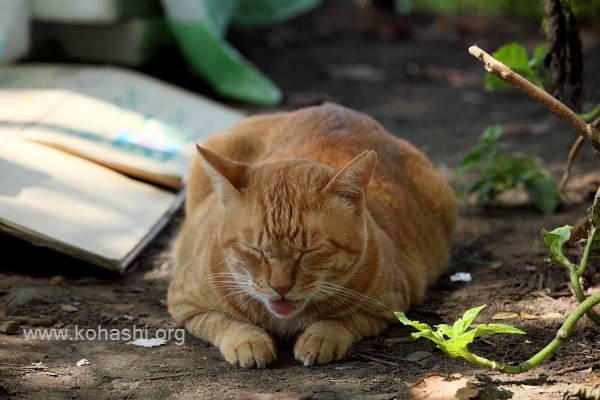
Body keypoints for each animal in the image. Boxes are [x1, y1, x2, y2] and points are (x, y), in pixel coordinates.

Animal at [166, 103, 458, 368]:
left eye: (310, 251)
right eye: (255, 250)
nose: (280, 287)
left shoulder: (387, 306)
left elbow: (339, 320)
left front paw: (321, 338)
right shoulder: (183, 303)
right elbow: (224, 320)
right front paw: (248, 341)